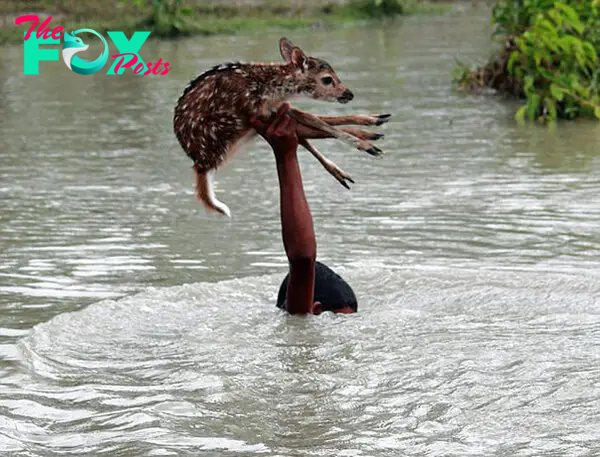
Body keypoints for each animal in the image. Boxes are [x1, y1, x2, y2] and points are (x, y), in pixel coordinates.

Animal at [173, 36, 392, 216]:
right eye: (327, 79)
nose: (349, 94)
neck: (272, 88)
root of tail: (200, 165)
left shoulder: (274, 108)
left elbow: (314, 119)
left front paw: (371, 126)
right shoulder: (259, 109)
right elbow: (315, 120)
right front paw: (366, 143)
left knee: (305, 130)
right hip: (230, 129)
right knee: (306, 129)